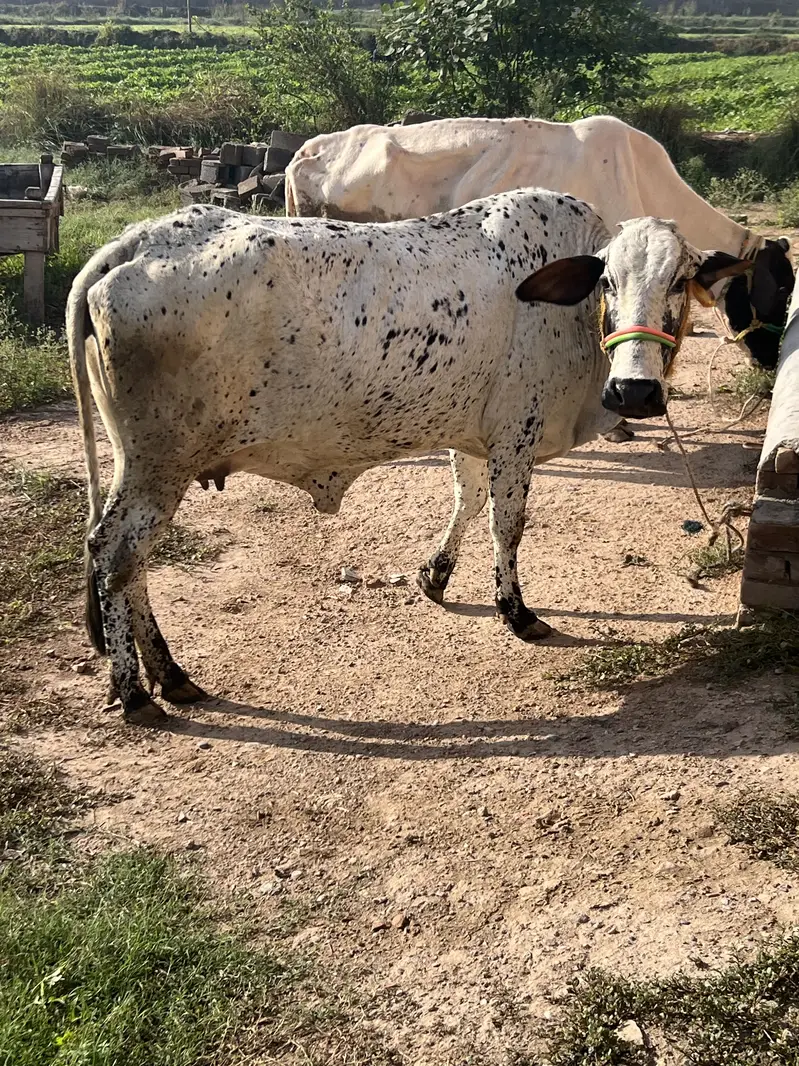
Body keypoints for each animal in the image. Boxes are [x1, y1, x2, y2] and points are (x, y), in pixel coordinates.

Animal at [67, 190, 749, 724]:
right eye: (607, 280)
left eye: (679, 280)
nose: (634, 392)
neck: (565, 312)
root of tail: (134, 242)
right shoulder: (516, 435)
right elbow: (507, 525)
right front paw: (515, 610)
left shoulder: (474, 438)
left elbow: (467, 501)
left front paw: (435, 576)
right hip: (159, 467)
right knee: (115, 554)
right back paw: (136, 690)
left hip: (146, 466)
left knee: (128, 564)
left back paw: (170, 675)